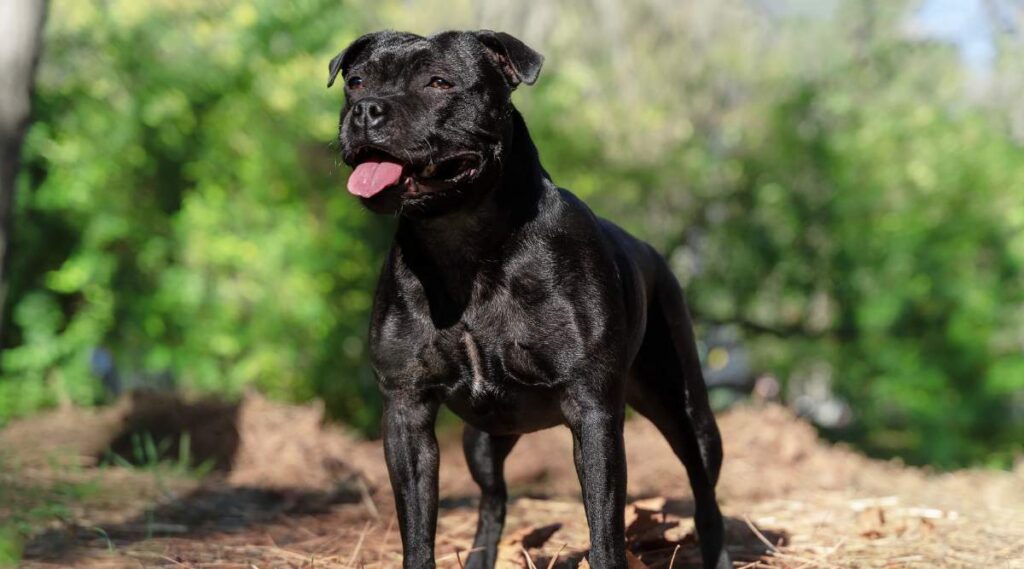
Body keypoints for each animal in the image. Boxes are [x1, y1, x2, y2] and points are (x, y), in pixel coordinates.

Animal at [327, 31, 729, 569]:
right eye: (355, 81)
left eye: (439, 82)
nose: (367, 109)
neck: (465, 245)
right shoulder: (406, 410)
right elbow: (417, 525)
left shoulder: (592, 409)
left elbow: (605, 523)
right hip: (483, 438)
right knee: (493, 497)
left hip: (687, 410)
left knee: (705, 491)